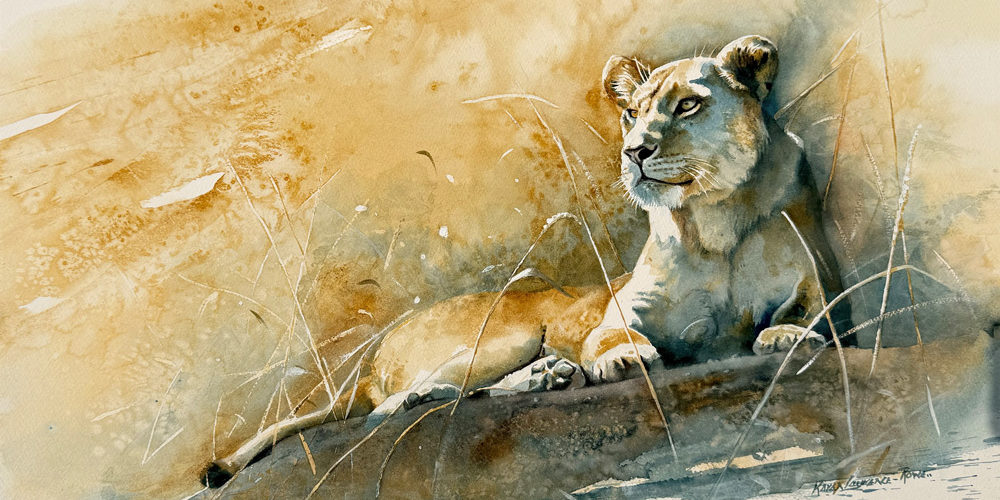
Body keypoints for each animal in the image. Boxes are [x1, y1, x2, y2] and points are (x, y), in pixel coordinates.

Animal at [203, 35, 850, 487]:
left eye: (689, 105)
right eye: (631, 114)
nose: (634, 152)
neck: (715, 225)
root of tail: (373, 359)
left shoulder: (821, 292)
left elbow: (810, 318)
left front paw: (785, 335)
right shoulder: (618, 312)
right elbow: (610, 336)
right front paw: (622, 359)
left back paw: (547, 377)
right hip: (501, 337)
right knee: (381, 412)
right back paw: (436, 395)